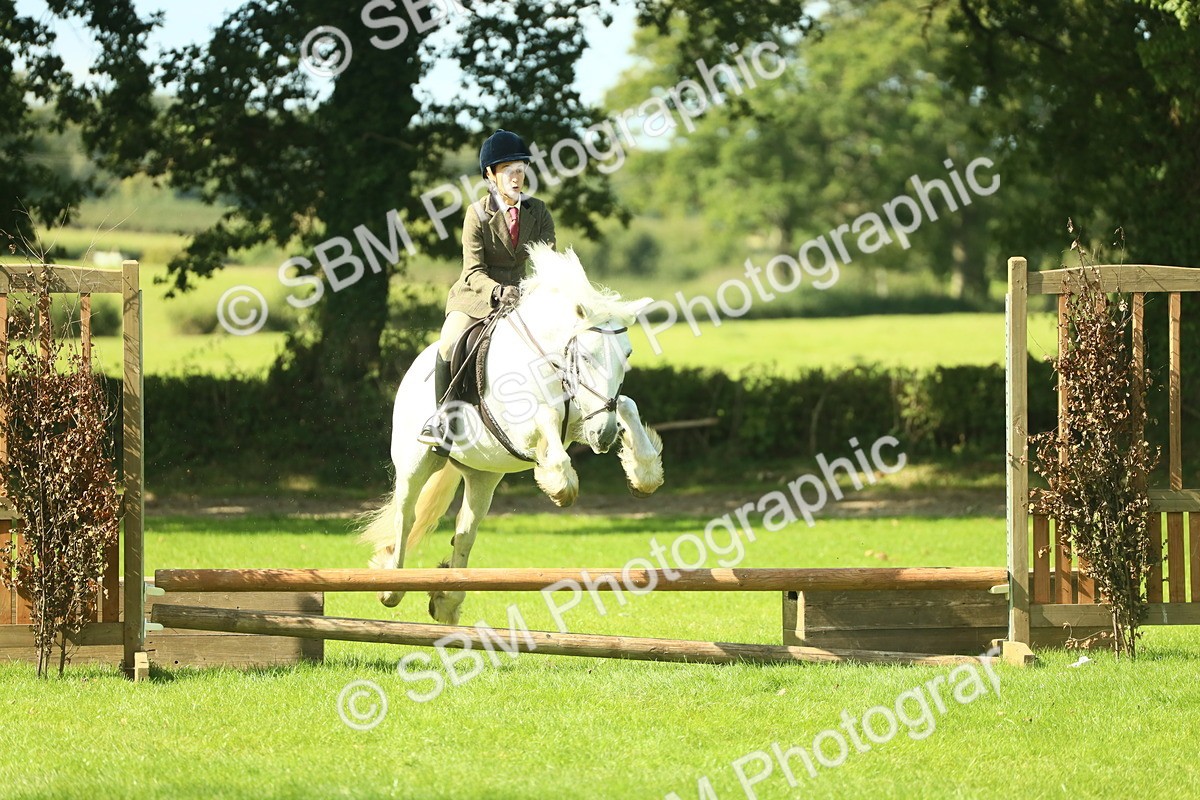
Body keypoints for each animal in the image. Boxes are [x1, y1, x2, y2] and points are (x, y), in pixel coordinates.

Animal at [360, 243, 664, 624]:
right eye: (586, 356)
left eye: (627, 354)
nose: (605, 436)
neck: (549, 361)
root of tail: (414, 368)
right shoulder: (519, 427)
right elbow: (546, 416)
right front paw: (560, 483)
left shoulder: (586, 419)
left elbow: (626, 404)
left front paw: (643, 473)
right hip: (415, 463)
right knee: (406, 515)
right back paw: (391, 586)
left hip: (483, 475)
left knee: (465, 530)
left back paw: (446, 601)